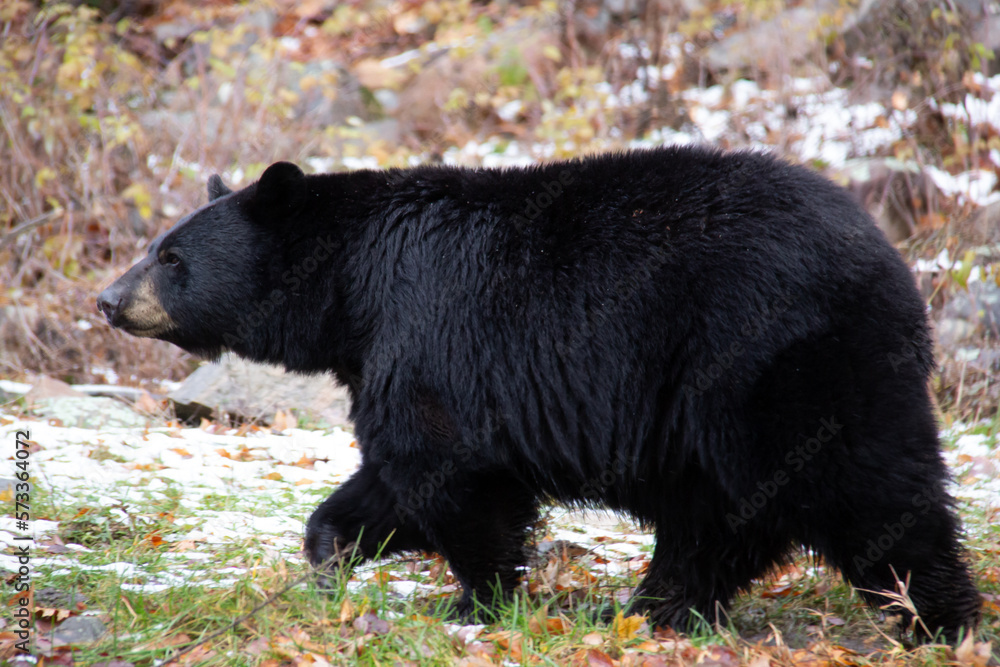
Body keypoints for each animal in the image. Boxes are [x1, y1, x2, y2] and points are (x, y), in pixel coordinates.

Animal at [97, 146, 980, 642]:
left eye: (171, 256)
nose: (107, 298)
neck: (353, 288)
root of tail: (891, 261)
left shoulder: (429, 336)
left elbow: (448, 476)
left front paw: (478, 601)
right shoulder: (390, 352)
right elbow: (386, 482)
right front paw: (330, 557)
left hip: (776, 360)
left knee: (872, 490)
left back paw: (939, 617)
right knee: (720, 518)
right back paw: (656, 606)